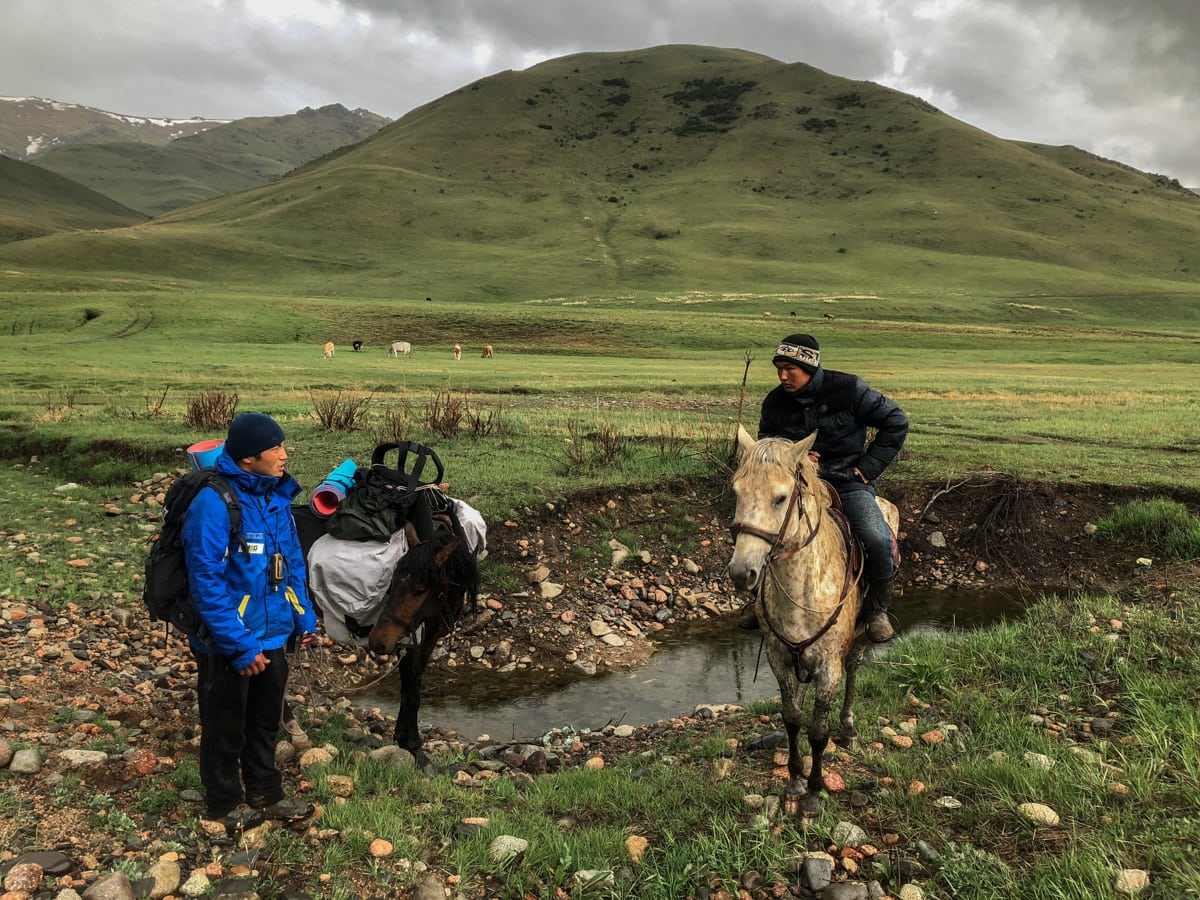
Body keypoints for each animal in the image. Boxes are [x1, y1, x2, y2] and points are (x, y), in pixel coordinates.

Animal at [364, 520, 477, 768]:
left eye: (419, 591)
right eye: (392, 583)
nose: (377, 641)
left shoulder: (427, 640)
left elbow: (412, 685)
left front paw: (401, 737)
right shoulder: (410, 643)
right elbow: (412, 693)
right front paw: (415, 748)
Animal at [724, 427, 897, 820]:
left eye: (780, 497)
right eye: (737, 492)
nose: (742, 573)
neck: (801, 589)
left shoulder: (828, 666)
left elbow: (818, 731)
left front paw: (814, 794)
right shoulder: (779, 658)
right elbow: (792, 717)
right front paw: (794, 779)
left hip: (857, 641)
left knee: (855, 669)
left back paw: (848, 728)